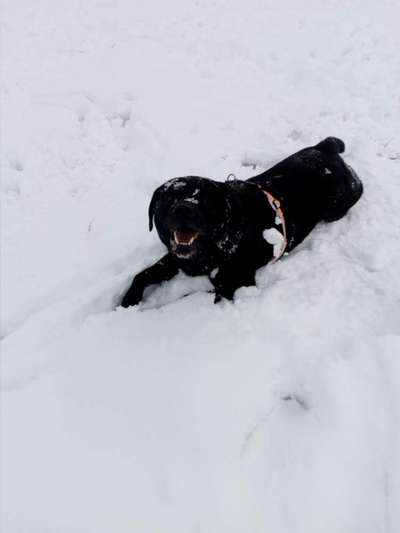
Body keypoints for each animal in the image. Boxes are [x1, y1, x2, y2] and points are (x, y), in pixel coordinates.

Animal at [121, 135, 362, 306]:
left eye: (202, 198)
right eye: (170, 197)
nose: (183, 208)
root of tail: (326, 147)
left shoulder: (235, 283)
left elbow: (187, 300)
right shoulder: (177, 258)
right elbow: (143, 274)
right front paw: (128, 301)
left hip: (340, 200)